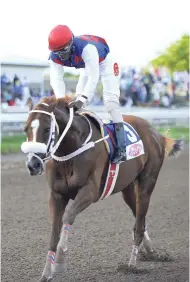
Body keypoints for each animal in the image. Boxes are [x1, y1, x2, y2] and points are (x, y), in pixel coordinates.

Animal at [21, 96, 183, 280]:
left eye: (47, 128)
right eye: (26, 129)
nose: (33, 165)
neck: (72, 149)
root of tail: (156, 133)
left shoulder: (90, 192)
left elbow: (68, 216)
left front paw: (60, 261)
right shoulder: (56, 195)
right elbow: (54, 233)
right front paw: (46, 274)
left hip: (147, 183)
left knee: (139, 223)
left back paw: (132, 265)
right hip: (127, 189)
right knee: (139, 219)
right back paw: (150, 251)